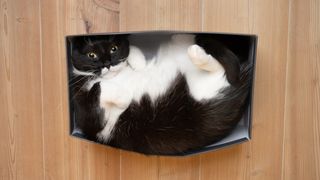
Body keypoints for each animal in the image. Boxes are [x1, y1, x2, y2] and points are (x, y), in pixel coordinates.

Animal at [69, 33, 251, 155]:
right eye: (91, 55)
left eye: (114, 49)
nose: (107, 63)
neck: (114, 77)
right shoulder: (90, 120)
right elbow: (98, 87)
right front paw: (123, 96)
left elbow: (135, 61)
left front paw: (134, 55)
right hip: (201, 93)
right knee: (217, 69)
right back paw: (193, 50)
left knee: (216, 66)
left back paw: (187, 42)